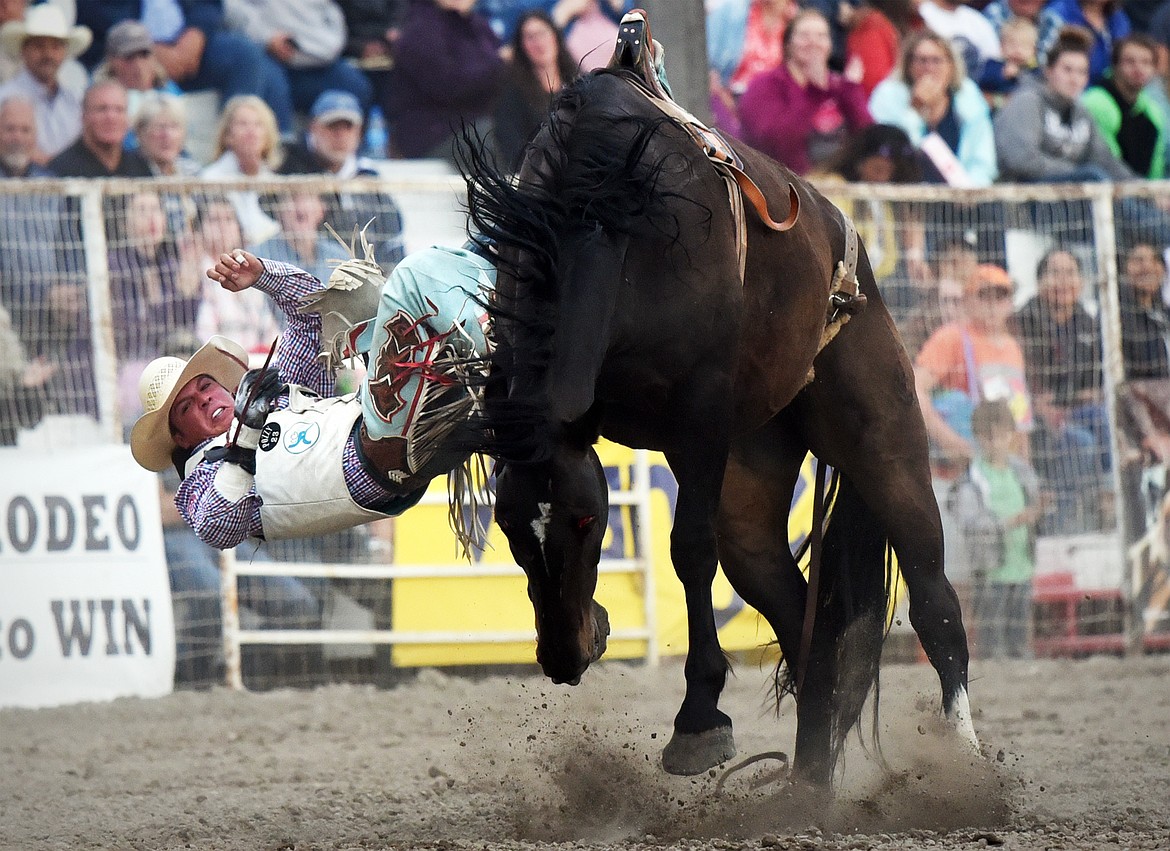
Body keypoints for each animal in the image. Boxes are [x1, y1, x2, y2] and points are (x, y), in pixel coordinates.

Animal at [463, 66, 978, 786]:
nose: (564, 657)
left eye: (589, 520)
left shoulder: (700, 414)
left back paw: (969, 759)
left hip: (885, 439)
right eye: (508, 525)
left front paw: (699, 719)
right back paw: (806, 787)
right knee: (804, 624)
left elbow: (689, 549)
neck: (609, 220)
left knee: (936, 601)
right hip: (750, 489)